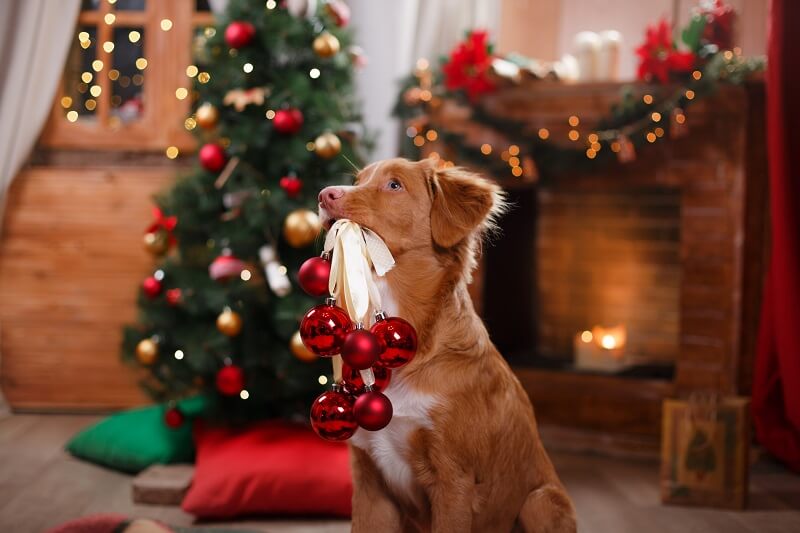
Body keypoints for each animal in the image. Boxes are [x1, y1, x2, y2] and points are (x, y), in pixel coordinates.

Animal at [318, 158, 576, 532]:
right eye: (359, 179)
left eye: (394, 185)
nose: (324, 195)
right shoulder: (370, 482)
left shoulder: (454, 480)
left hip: (542, 501)